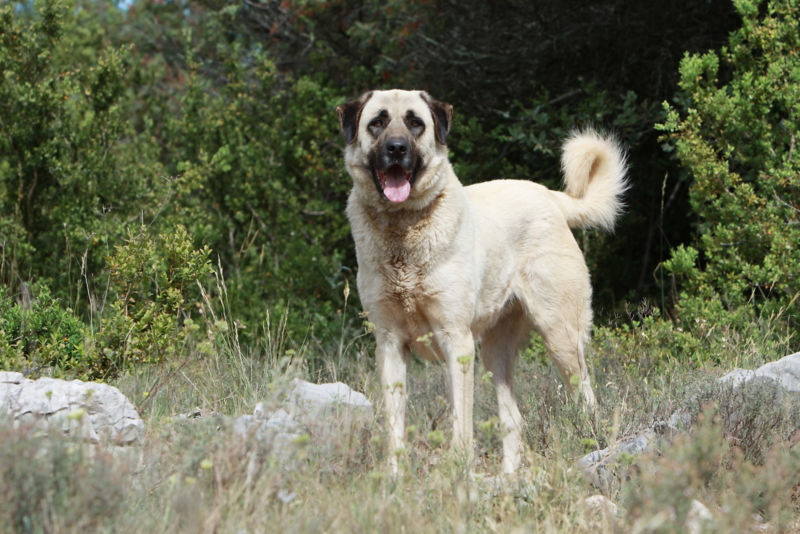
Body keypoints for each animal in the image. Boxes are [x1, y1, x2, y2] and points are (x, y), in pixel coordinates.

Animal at [334, 90, 628, 476]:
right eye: (377, 122)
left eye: (415, 123)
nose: (397, 149)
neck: (403, 231)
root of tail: (549, 195)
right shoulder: (389, 345)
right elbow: (395, 424)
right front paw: (395, 477)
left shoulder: (455, 342)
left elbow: (461, 422)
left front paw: (459, 473)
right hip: (494, 352)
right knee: (513, 418)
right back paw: (509, 477)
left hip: (561, 336)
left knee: (586, 398)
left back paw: (592, 447)